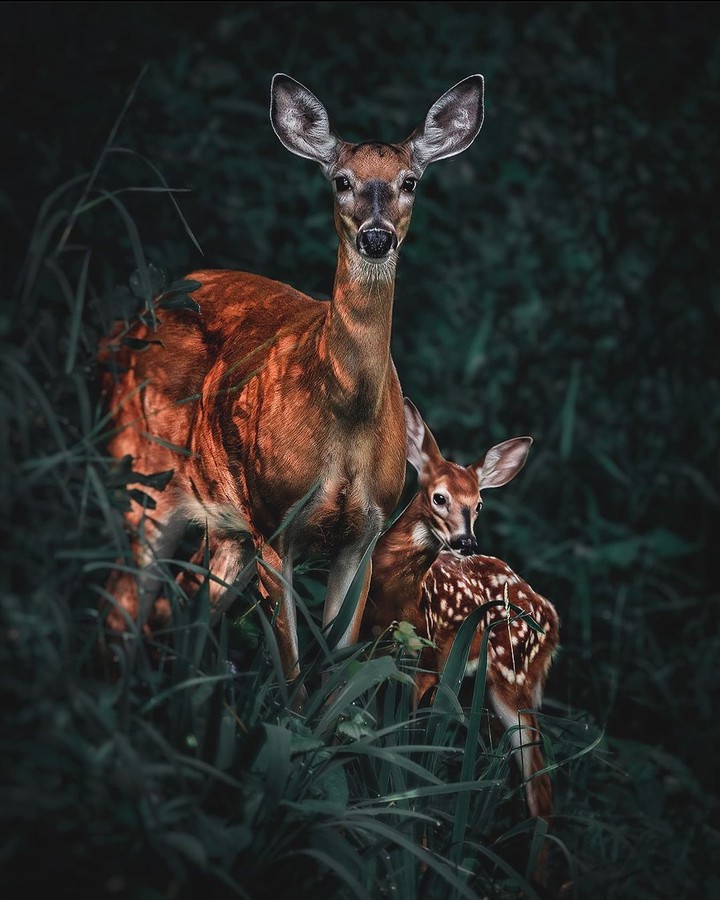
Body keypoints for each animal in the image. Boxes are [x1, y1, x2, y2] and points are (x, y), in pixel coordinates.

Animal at [99, 73, 485, 688]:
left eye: (410, 181)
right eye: (341, 180)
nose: (376, 237)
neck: (346, 419)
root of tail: (126, 326)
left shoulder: (364, 535)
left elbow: (333, 672)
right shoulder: (275, 524)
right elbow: (292, 677)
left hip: (224, 525)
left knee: (181, 607)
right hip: (144, 470)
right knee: (125, 602)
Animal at [362, 399, 560, 824]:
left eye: (479, 505)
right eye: (439, 497)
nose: (465, 541)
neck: (395, 594)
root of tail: (552, 619)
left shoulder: (427, 659)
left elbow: (408, 737)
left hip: (512, 680)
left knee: (540, 783)